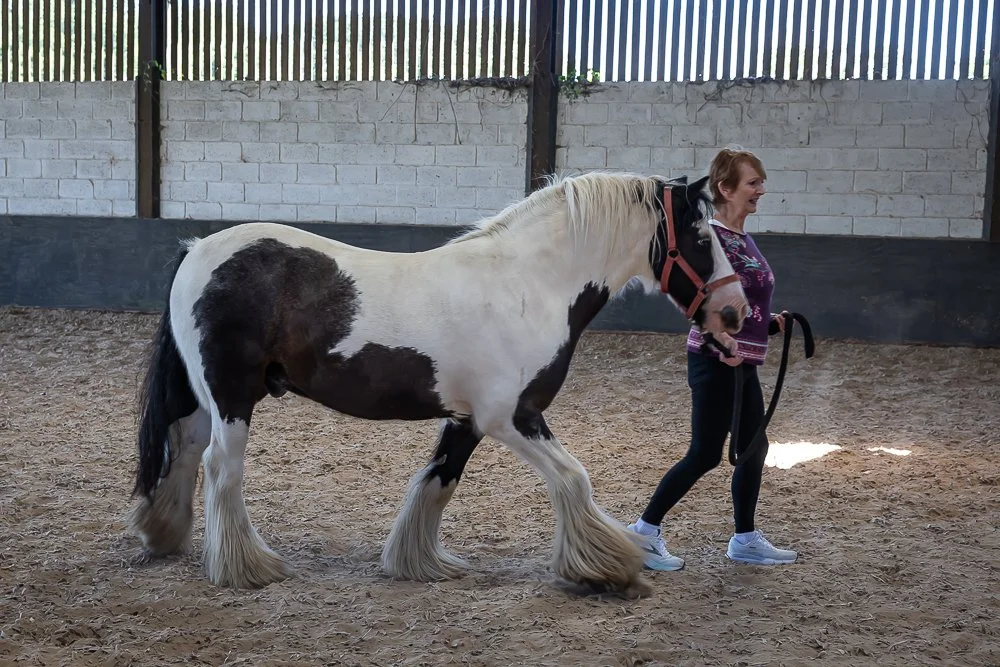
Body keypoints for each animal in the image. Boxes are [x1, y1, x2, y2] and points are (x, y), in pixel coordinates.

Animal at [127, 171, 749, 597]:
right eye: (701, 237)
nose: (736, 312)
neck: (531, 283)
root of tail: (198, 250)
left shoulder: (468, 419)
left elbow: (438, 482)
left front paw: (418, 564)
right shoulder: (511, 417)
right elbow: (574, 480)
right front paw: (610, 568)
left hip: (201, 397)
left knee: (184, 450)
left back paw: (164, 534)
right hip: (232, 396)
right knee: (220, 468)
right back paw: (246, 567)